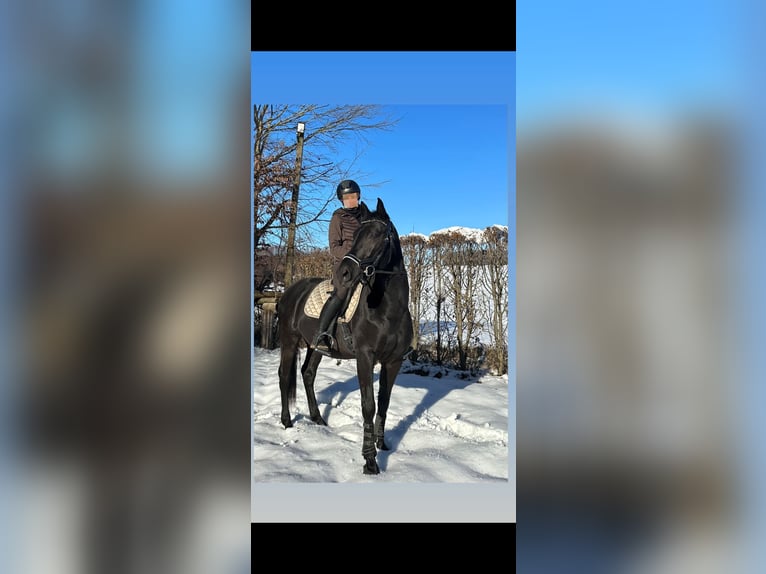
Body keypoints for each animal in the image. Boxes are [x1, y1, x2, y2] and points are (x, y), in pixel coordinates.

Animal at [276, 197, 413, 475]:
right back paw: (287, 422)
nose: (345, 273)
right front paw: (370, 461)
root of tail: (290, 291)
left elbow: (384, 402)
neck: (388, 310)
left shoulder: (394, 361)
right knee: (285, 376)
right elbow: (368, 405)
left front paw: (383, 445)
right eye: (357, 235)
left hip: (315, 347)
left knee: (307, 374)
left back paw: (318, 418)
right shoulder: (365, 357)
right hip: (289, 342)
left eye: (379, 234)